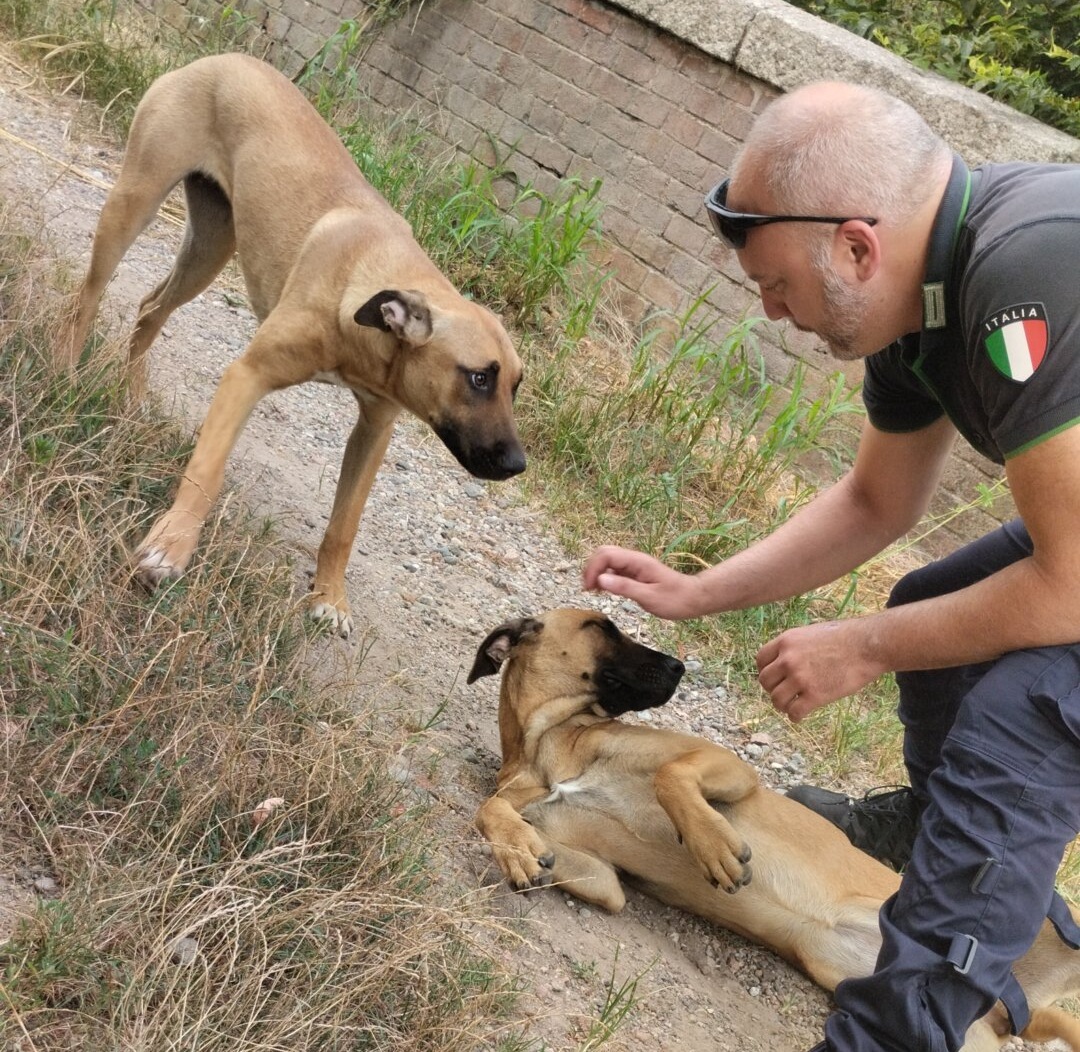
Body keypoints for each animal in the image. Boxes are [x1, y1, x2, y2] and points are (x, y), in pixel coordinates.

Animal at [60, 55, 527, 635]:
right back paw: (65, 371)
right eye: (479, 377)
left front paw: (329, 596)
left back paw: (133, 398)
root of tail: (222, 58)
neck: (366, 289)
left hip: (211, 246)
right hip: (134, 202)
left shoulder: (375, 429)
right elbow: (206, 472)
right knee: (88, 298)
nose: (517, 465)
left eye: (516, 385)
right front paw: (171, 548)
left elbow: (344, 525)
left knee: (149, 309)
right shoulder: (248, 376)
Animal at [468, 609, 1080, 1052]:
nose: (679, 666)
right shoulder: (602, 880)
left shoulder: (727, 767)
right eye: (601, 627)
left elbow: (670, 777)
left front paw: (713, 845)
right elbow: (491, 812)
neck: (550, 746)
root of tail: (1004, 1008)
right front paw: (516, 847)